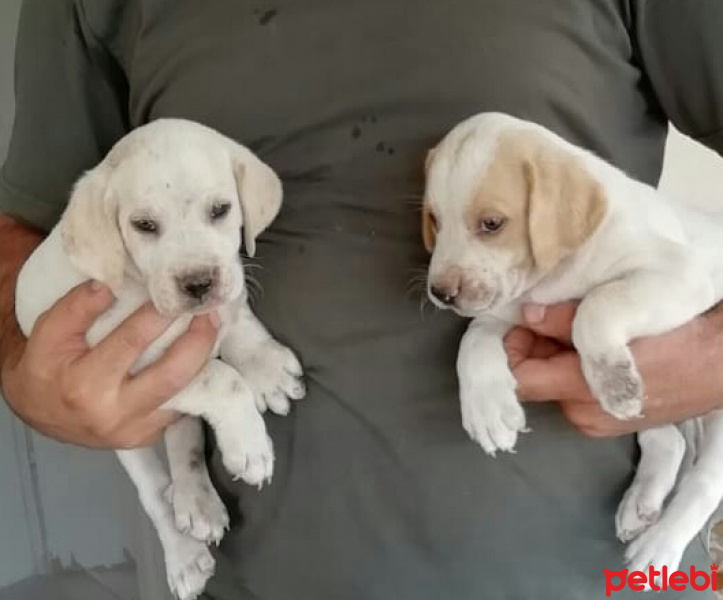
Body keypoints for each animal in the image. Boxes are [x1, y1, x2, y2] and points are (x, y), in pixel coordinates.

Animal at [15, 119, 306, 600]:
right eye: (144, 225)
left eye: (221, 209)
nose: (199, 283)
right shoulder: (131, 372)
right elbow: (220, 378)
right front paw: (249, 445)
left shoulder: (226, 296)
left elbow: (236, 320)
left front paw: (266, 369)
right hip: (121, 435)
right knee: (153, 490)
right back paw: (184, 553)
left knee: (182, 441)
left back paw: (197, 501)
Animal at [422, 110, 723, 580]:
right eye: (434, 220)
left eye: (492, 223)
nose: (441, 294)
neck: (556, 275)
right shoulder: (510, 311)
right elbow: (472, 343)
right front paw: (486, 409)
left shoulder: (682, 275)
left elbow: (596, 306)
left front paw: (611, 377)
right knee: (667, 440)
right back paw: (641, 502)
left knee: (705, 483)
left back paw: (660, 545)